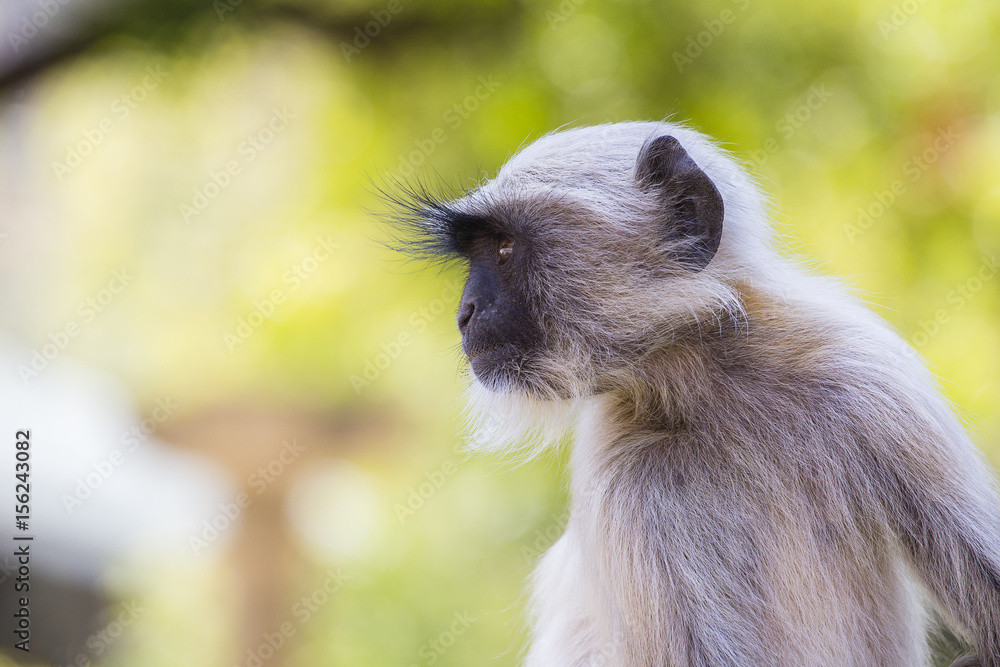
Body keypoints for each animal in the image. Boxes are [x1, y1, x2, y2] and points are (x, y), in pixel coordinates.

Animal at [385, 121, 1000, 666]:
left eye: (504, 249)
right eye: (480, 253)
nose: (465, 313)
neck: (711, 390)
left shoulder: (864, 377)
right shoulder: (624, 484)